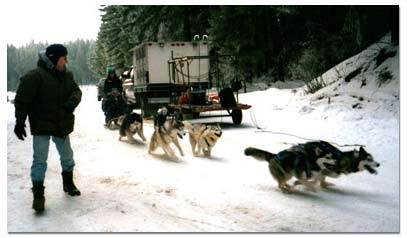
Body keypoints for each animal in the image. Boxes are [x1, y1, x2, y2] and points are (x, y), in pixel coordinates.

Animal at [244, 139, 380, 193]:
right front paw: (307, 186)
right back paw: (287, 189)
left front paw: (324, 185)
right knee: (280, 183)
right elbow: (313, 181)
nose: (378, 164)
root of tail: (273, 155)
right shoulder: (321, 172)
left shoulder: (321, 173)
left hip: (288, 174)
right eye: (369, 159)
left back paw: (289, 186)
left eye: (373, 158)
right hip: (286, 174)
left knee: (283, 182)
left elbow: (320, 181)